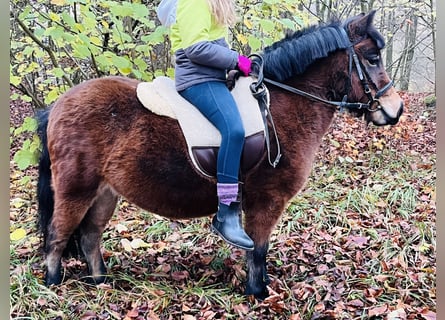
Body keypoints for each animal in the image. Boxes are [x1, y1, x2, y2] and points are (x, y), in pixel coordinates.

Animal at [35, 10, 402, 300]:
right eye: (372, 58)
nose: (395, 109)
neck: (281, 107)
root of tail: (56, 107)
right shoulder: (267, 200)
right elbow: (258, 249)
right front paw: (258, 292)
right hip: (75, 190)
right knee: (57, 236)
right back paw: (52, 285)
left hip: (104, 192)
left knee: (89, 237)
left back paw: (101, 283)